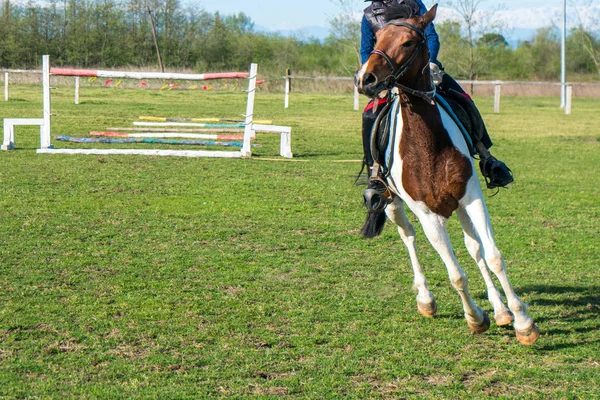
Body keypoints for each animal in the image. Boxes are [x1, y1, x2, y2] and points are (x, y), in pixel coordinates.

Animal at [352, 3, 540, 346]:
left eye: (408, 42)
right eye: (378, 38)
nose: (366, 79)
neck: (427, 145)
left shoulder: (471, 196)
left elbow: (491, 255)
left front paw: (521, 321)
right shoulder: (427, 215)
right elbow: (456, 274)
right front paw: (475, 318)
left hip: (458, 204)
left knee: (474, 248)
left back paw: (501, 310)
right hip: (392, 203)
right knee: (408, 236)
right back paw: (426, 299)